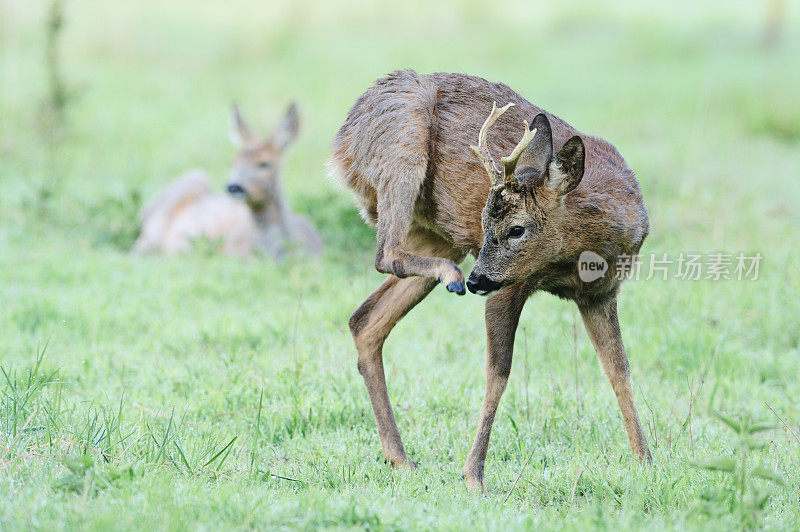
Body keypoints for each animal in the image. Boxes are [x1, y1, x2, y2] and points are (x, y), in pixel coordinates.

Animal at [328, 70, 652, 490]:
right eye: (484, 223)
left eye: (517, 229)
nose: (476, 281)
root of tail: (342, 143)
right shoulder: (510, 286)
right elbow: (498, 372)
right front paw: (473, 475)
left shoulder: (601, 294)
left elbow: (619, 370)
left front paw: (646, 460)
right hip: (403, 145)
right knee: (386, 253)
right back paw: (450, 277)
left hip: (440, 235)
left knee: (365, 320)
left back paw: (400, 458)